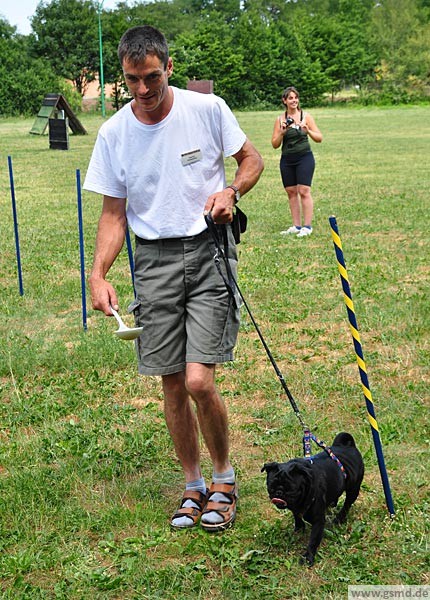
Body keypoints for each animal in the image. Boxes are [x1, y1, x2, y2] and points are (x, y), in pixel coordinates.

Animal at [261, 432, 364, 566]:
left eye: (291, 488)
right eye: (271, 486)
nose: (279, 492)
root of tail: (349, 446)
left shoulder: (318, 521)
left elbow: (313, 540)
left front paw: (308, 557)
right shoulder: (295, 508)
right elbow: (297, 516)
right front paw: (299, 528)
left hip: (353, 489)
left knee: (347, 504)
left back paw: (339, 519)